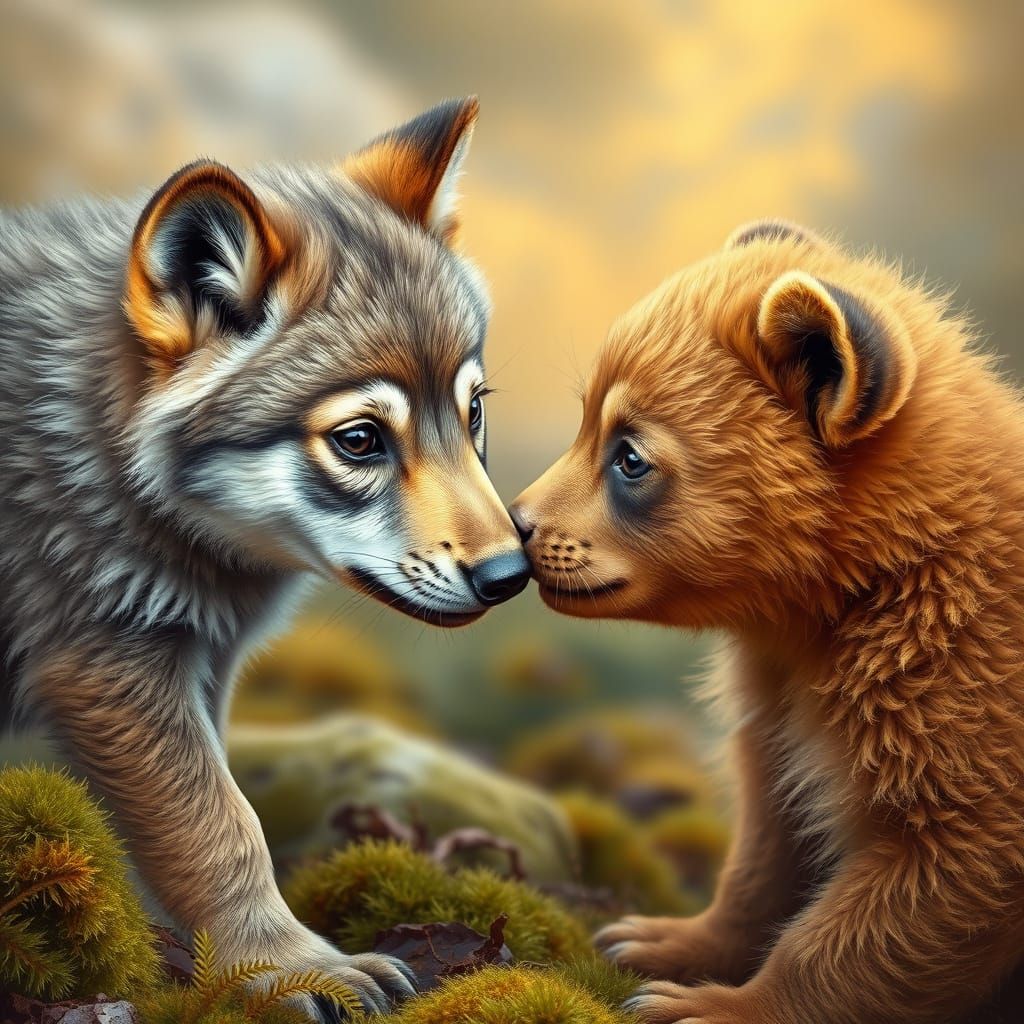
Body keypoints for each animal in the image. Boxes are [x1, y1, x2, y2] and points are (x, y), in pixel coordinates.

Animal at [0, 97, 529, 1016]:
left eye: (471, 413)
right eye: (359, 440)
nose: (512, 576)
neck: (94, 448)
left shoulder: (197, 667)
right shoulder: (106, 666)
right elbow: (223, 829)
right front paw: (289, 971)